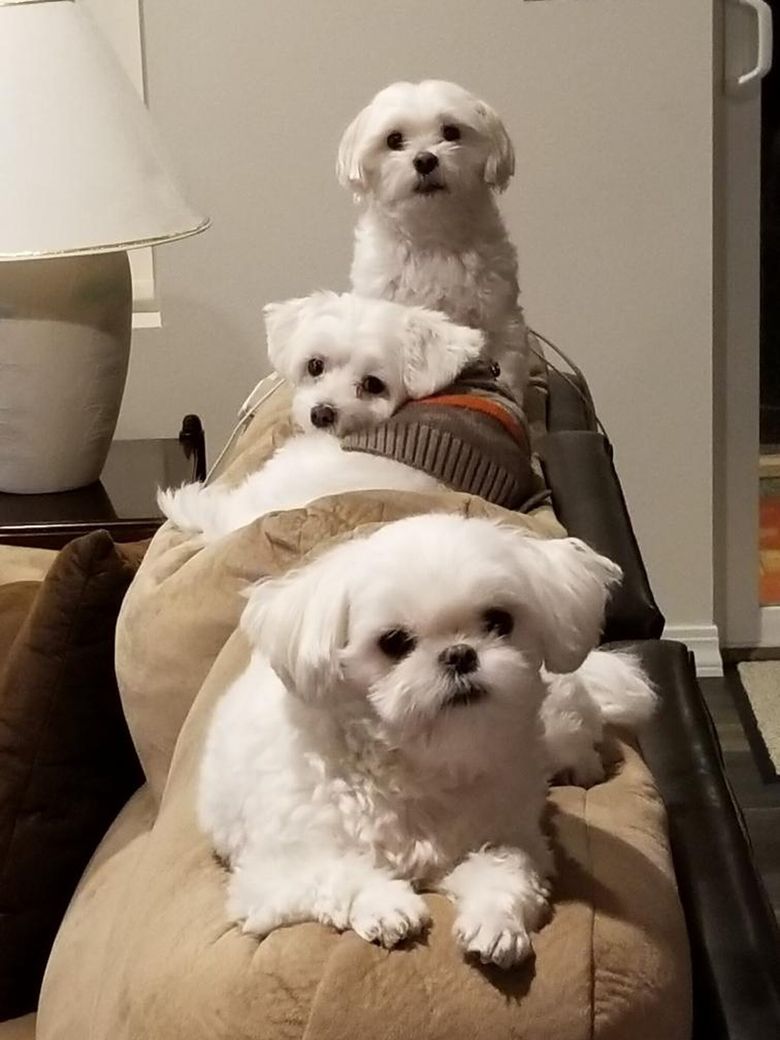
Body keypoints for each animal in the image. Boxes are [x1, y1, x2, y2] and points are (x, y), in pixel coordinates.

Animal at [336, 79, 532, 395]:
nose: (425, 160)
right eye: (394, 139)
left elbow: (507, 375)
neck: (431, 236)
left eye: (451, 132)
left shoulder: (500, 321)